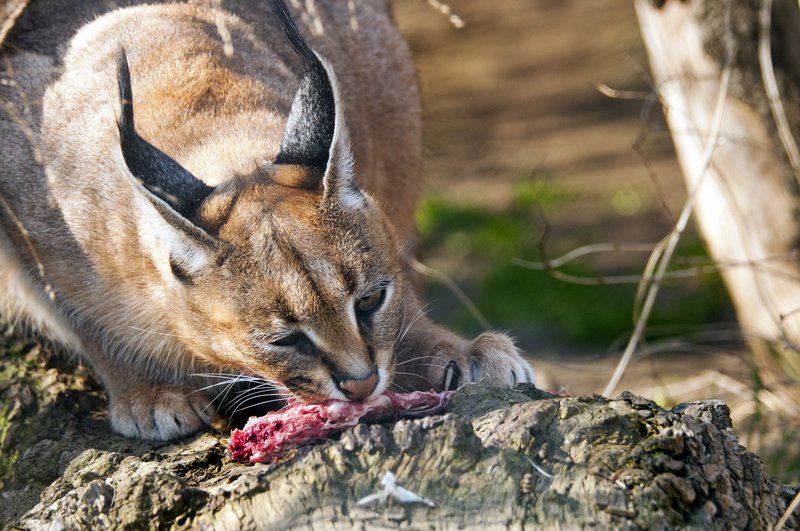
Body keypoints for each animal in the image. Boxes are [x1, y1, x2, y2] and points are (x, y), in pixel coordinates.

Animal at [1, 0, 536, 440]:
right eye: (283, 340)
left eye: (370, 301)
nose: (361, 386)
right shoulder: (26, 231)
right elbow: (81, 318)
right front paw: (147, 392)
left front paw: (454, 353)